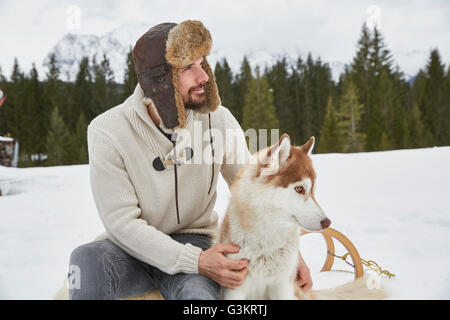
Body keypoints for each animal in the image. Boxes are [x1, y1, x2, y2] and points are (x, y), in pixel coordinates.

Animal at [217, 134, 384, 298]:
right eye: (299, 189)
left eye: (312, 191)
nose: (327, 222)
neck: (268, 241)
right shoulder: (235, 288)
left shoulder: (282, 286)